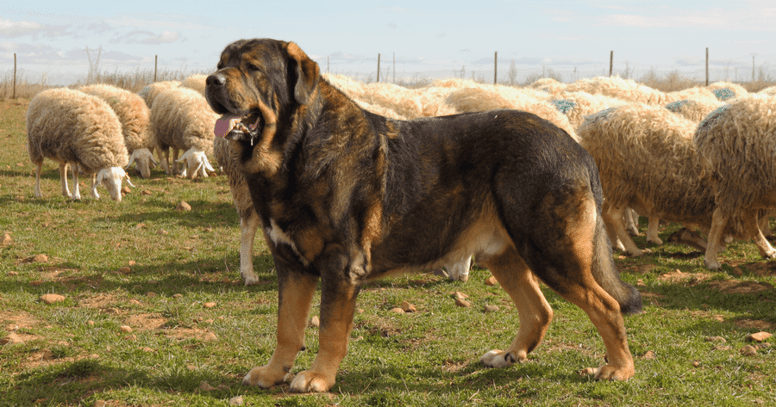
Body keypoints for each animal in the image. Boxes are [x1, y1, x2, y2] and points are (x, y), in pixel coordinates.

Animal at [205, 39, 644, 394]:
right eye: (222, 62)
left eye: (252, 67)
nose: (211, 80)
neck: (294, 151)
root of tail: (574, 145)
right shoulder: (290, 264)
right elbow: (287, 326)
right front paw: (273, 372)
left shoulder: (341, 264)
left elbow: (329, 329)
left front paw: (318, 378)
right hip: (505, 254)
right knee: (540, 309)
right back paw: (508, 356)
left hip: (551, 250)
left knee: (606, 305)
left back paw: (619, 369)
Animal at [696, 94, 776, 270]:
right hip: (734, 180)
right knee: (720, 217)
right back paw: (711, 260)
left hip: (750, 184)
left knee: (748, 217)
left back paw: (767, 250)